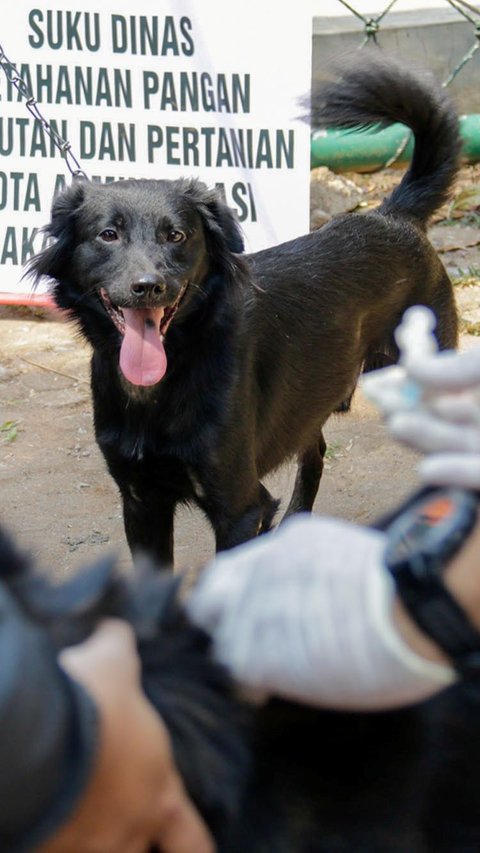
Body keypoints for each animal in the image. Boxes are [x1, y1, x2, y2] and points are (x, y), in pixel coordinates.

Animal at [29, 56, 462, 568]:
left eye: (177, 235)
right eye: (108, 235)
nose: (149, 287)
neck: (163, 384)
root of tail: (393, 215)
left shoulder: (239, 506)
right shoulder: (140, 500)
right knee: (315, 451)